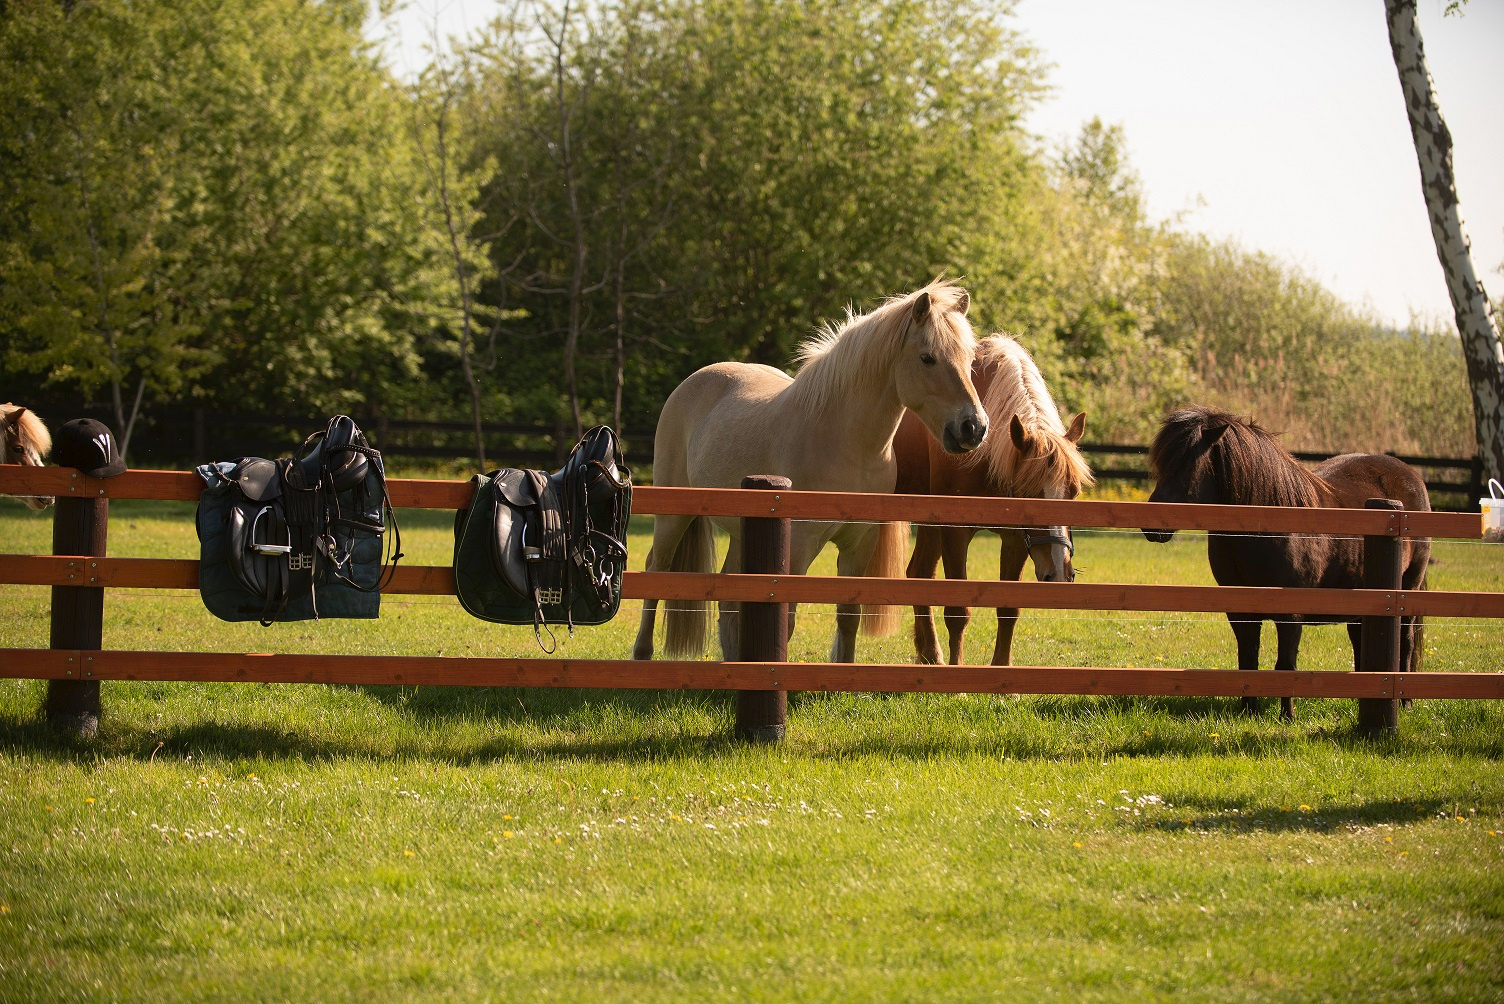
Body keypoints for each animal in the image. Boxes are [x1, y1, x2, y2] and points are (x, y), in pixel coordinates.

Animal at [632, 280, 988, 664]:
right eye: (927, 358)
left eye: (969, 361)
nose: (973, 427)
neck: (845, 441)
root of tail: (691, 382)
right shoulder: (799, 546)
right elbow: (785, 621)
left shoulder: (858, 544)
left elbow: (848, 618)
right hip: (673, 516)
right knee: (656, 569)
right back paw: (642, 653)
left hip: (741, 532)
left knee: (729, 598)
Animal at [894, 334, 1092, 666]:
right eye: (1029, 494)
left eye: (1073, 492)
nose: (1057, 573)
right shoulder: (955, 533)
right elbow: (958, 612)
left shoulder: (1015, 539)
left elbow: (1008, 610)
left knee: (919, 573)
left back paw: (930, 655)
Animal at [1142, 405, 1429, 720]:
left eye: (1184, 465)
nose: (1150, 527)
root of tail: (1410, 476)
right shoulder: (1239, 611)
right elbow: (1248, 660)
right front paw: (1248, 711)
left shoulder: (1290, 613)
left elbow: (1286, 665)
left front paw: (1286, 716)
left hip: (1408, 590)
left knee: (1406, 642)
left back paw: (1406, 703)